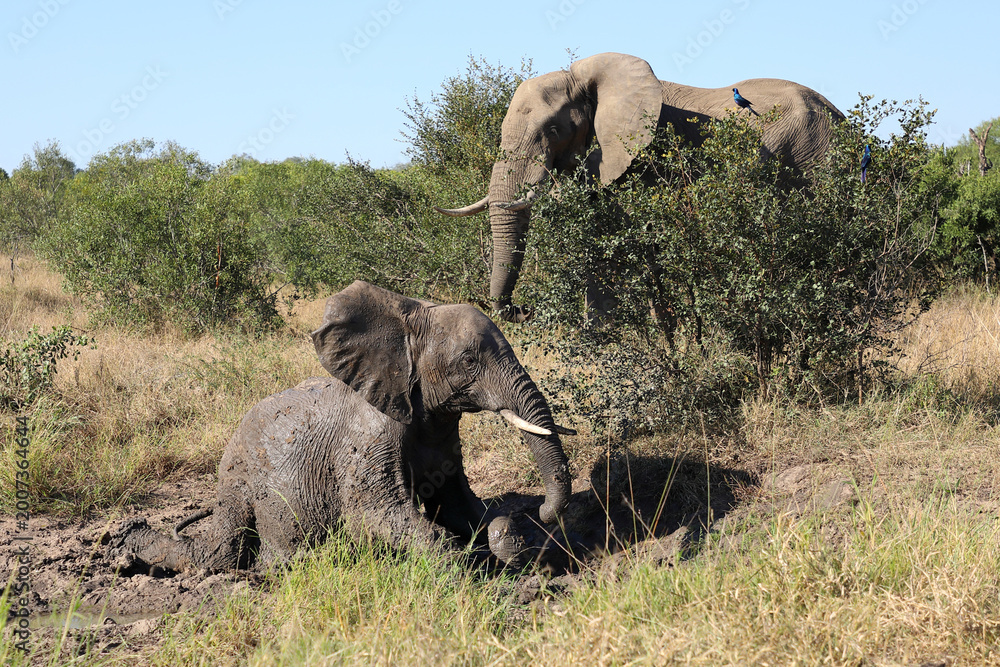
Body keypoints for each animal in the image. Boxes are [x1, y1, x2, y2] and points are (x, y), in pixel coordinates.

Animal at [107, 280, 573, 572]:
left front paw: (506, 538)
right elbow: (373, 515)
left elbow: (458, 507)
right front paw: (464, 565)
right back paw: (127, 542)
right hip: (238, 479)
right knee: (219, 553)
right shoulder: (369, 439)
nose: (542, 511)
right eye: (469, 360)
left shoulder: (442, 432)